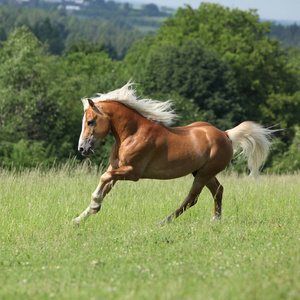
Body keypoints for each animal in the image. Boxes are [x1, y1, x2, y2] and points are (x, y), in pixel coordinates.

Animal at [72, 82, 274, 225]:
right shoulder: (116, 168)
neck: (133, 134)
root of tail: (225, 135)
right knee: (218, 190)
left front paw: (93, 207)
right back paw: (215, 220)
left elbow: (103, 178)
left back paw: (163, 222)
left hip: (204, 173)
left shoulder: (133, 172)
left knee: (192, 199)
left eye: (90, 121)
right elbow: (104, 185)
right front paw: (78, 219)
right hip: (203, 172)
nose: (82, 149)